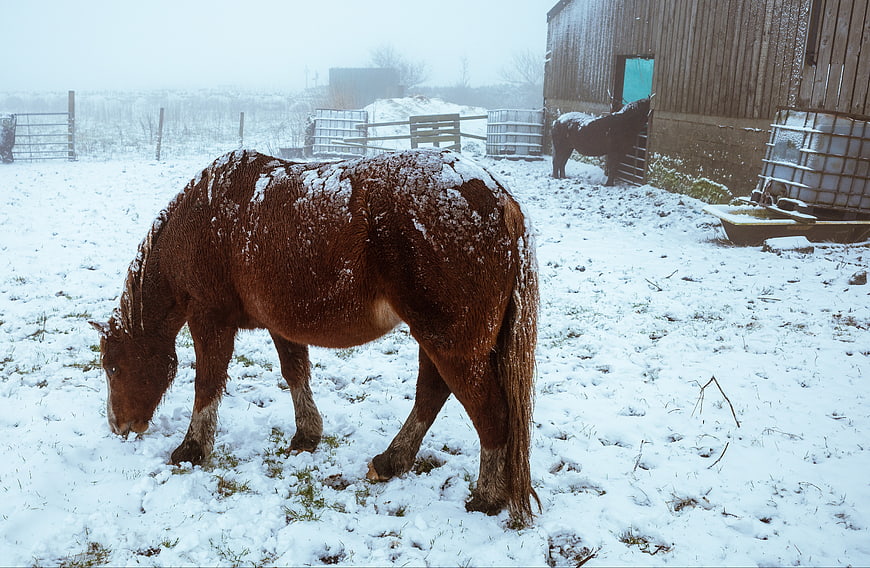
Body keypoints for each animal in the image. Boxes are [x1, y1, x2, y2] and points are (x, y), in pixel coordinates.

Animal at [90, 148, 540, 522]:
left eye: (112, 368)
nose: (118, 426)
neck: (205, 217)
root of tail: (498, 198)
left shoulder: (210, 319)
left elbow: (208, 384)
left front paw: (193, 449)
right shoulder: (281, 323)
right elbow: (295, 373)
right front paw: (307, 435)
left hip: (452, 345)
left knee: (490, 414)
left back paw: (487, 497)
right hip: (438, 340)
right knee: (433, 393)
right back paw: (392, 461)